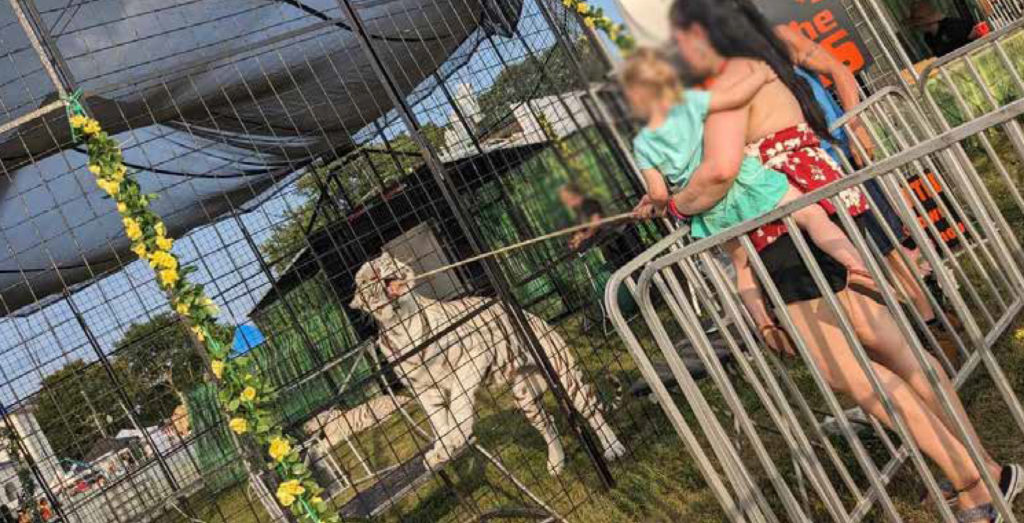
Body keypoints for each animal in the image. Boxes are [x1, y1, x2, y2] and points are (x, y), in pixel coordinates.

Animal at [350, 253, 622, 474]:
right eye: (364, 280)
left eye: (383, 262)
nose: (376, 274)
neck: (401, 326)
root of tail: (540, 320)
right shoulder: (423, 389)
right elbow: (438, 421)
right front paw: (442, 450)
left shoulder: (473, 354)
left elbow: (458, 402)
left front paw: (458, 437)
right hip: (525, 395)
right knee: (549, 424)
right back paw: (556, 464)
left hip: (565, 376)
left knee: (592, 413)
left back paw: (613, 448)